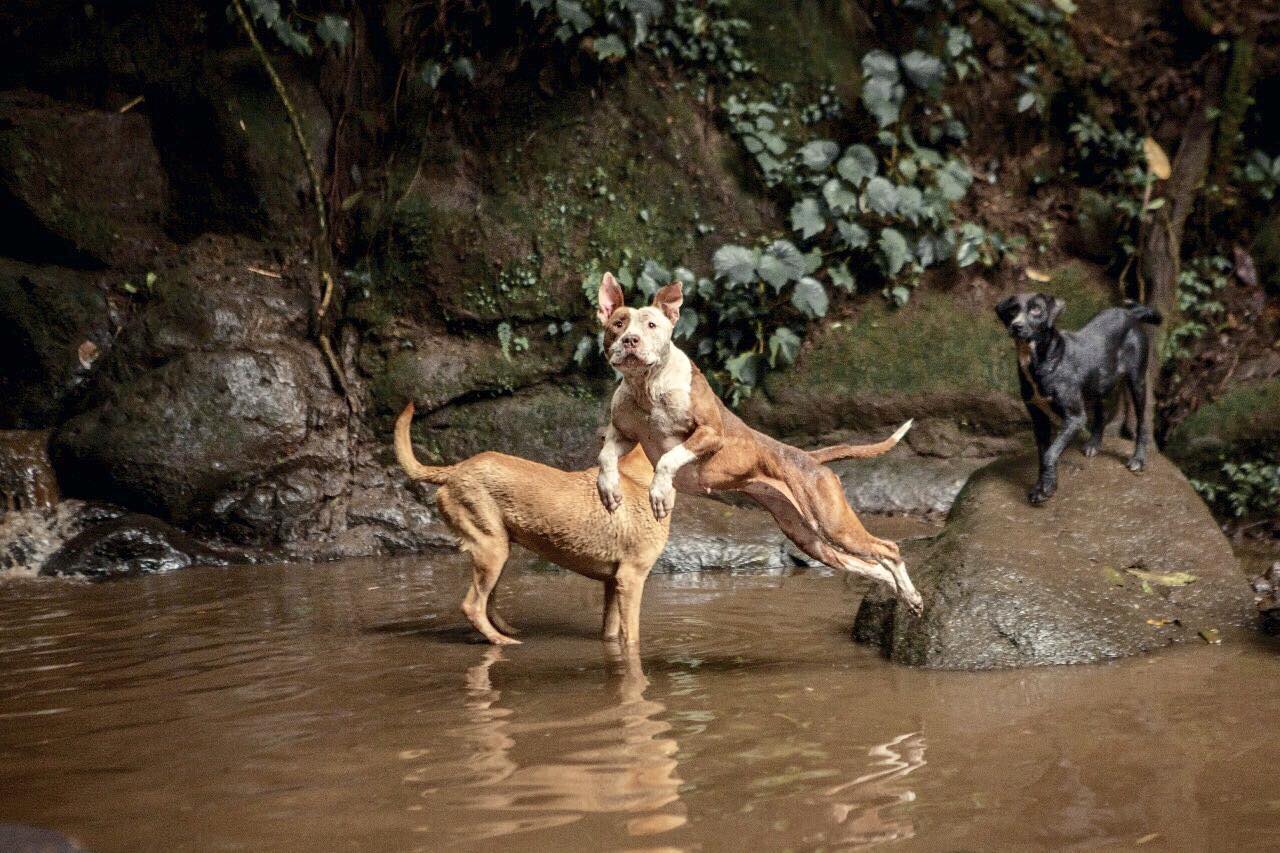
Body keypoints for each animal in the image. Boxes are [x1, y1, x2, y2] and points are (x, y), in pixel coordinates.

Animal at [394, 399, 906, 645]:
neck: (639, 474)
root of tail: (450, 470)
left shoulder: (611, 583)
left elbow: (610, 634)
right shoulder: (632, 580)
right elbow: (633, 638)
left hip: (499, 549)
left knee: (488, 602)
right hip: (492, 549)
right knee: (471, 605)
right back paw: (502, 643)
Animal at [593, 275, 926, 614]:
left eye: (651, 324)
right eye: (618, 323)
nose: (630, 340)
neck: (646, 386)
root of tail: (809, 457)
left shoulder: (711, 434)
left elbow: (668, 458)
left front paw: (660, 493)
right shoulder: (623, 434)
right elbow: (606, 456)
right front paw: (609, 489)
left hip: (833, 523)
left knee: (888, 548)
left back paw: (910, 593)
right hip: (807, 537)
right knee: (869, 564)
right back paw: (904, 595)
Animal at [993, 294, 1167, 502]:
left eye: (1036, 309)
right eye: (1013, 310)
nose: (1016, 326)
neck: (1044, 359)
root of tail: (1129, 313)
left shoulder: (1075, 418)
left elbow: (1050, 454)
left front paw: (1048, 487)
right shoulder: (1039, 418)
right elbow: (1043, 455)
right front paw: (1042, 487)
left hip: (1137, 381)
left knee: (1142, 422)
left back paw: (1138, 459)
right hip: (1098, 384)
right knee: (1101, 412)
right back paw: (1093, 444)